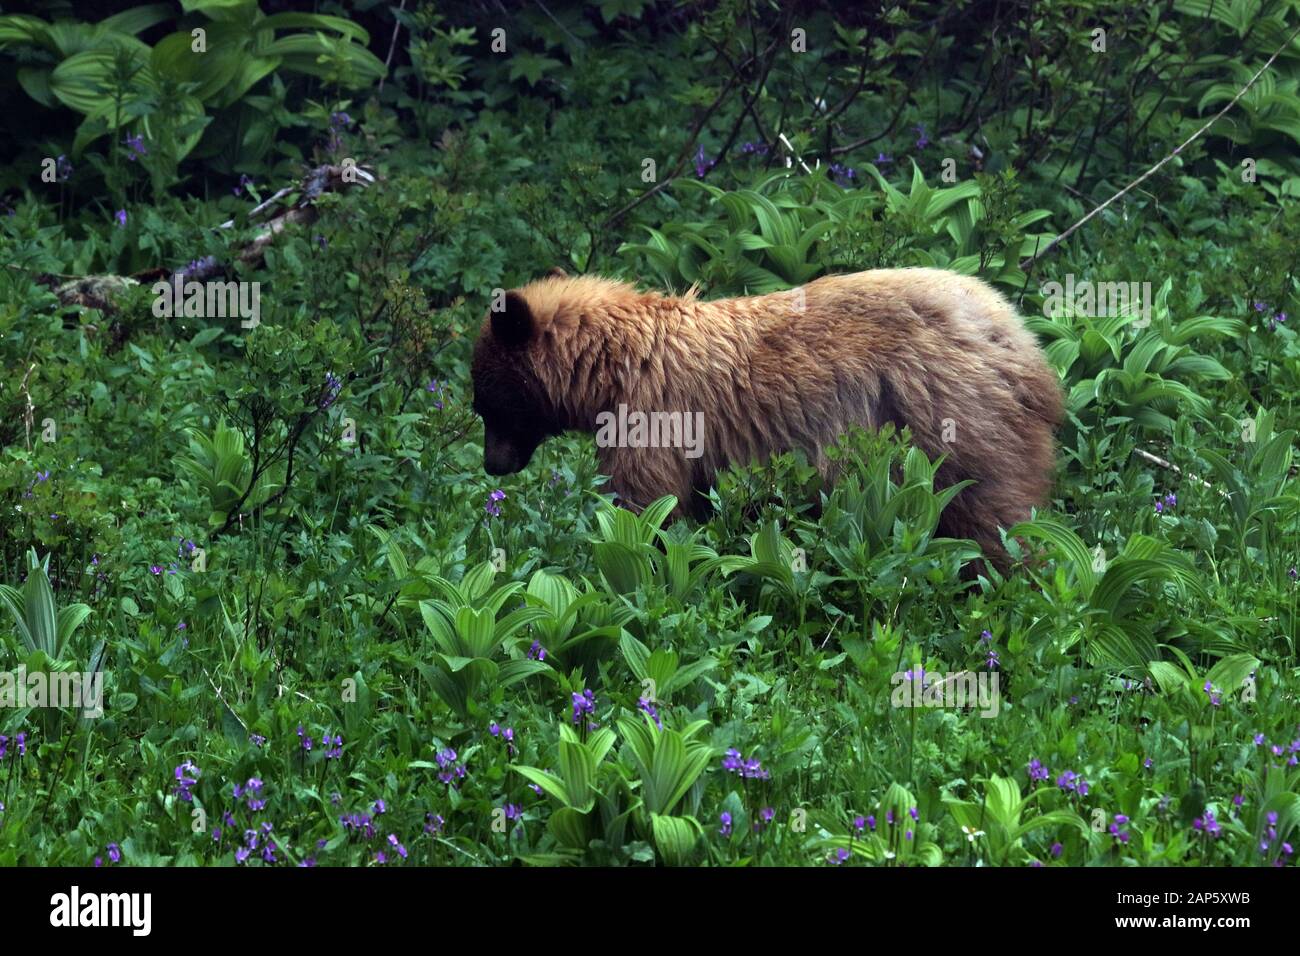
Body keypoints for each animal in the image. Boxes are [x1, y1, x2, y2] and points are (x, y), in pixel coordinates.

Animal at [470, 267, 1063, 567]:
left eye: (485, 402)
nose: (491, 465)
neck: (610, 367)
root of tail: (1023, 344)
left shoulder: (653, 416)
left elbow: (646, 504)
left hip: (950, 418)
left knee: (993, 515)